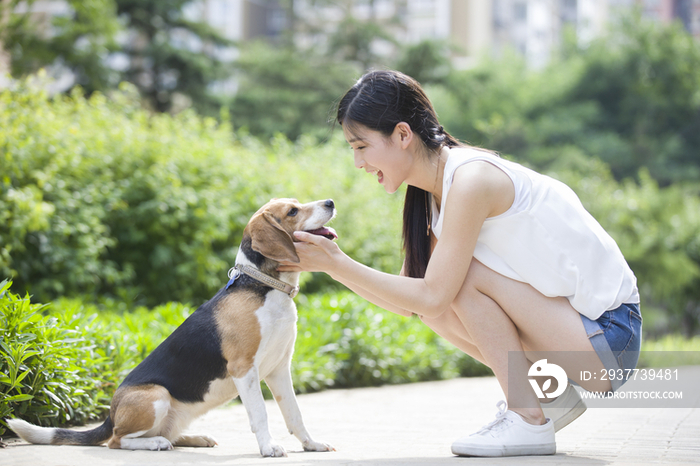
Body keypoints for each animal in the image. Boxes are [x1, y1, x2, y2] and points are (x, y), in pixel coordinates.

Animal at [7, 198, 336, 456]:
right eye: (293, 211)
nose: (330, 203)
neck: (265, 286)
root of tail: (110, 416)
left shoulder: (279, 368)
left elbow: (294, 413)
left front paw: (311, 444)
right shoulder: (244, 369)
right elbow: (260, 414)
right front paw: (268, 448)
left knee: (165, 434)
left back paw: (192, 438)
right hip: (157, 397)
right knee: (118, 440)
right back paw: (153, 444)